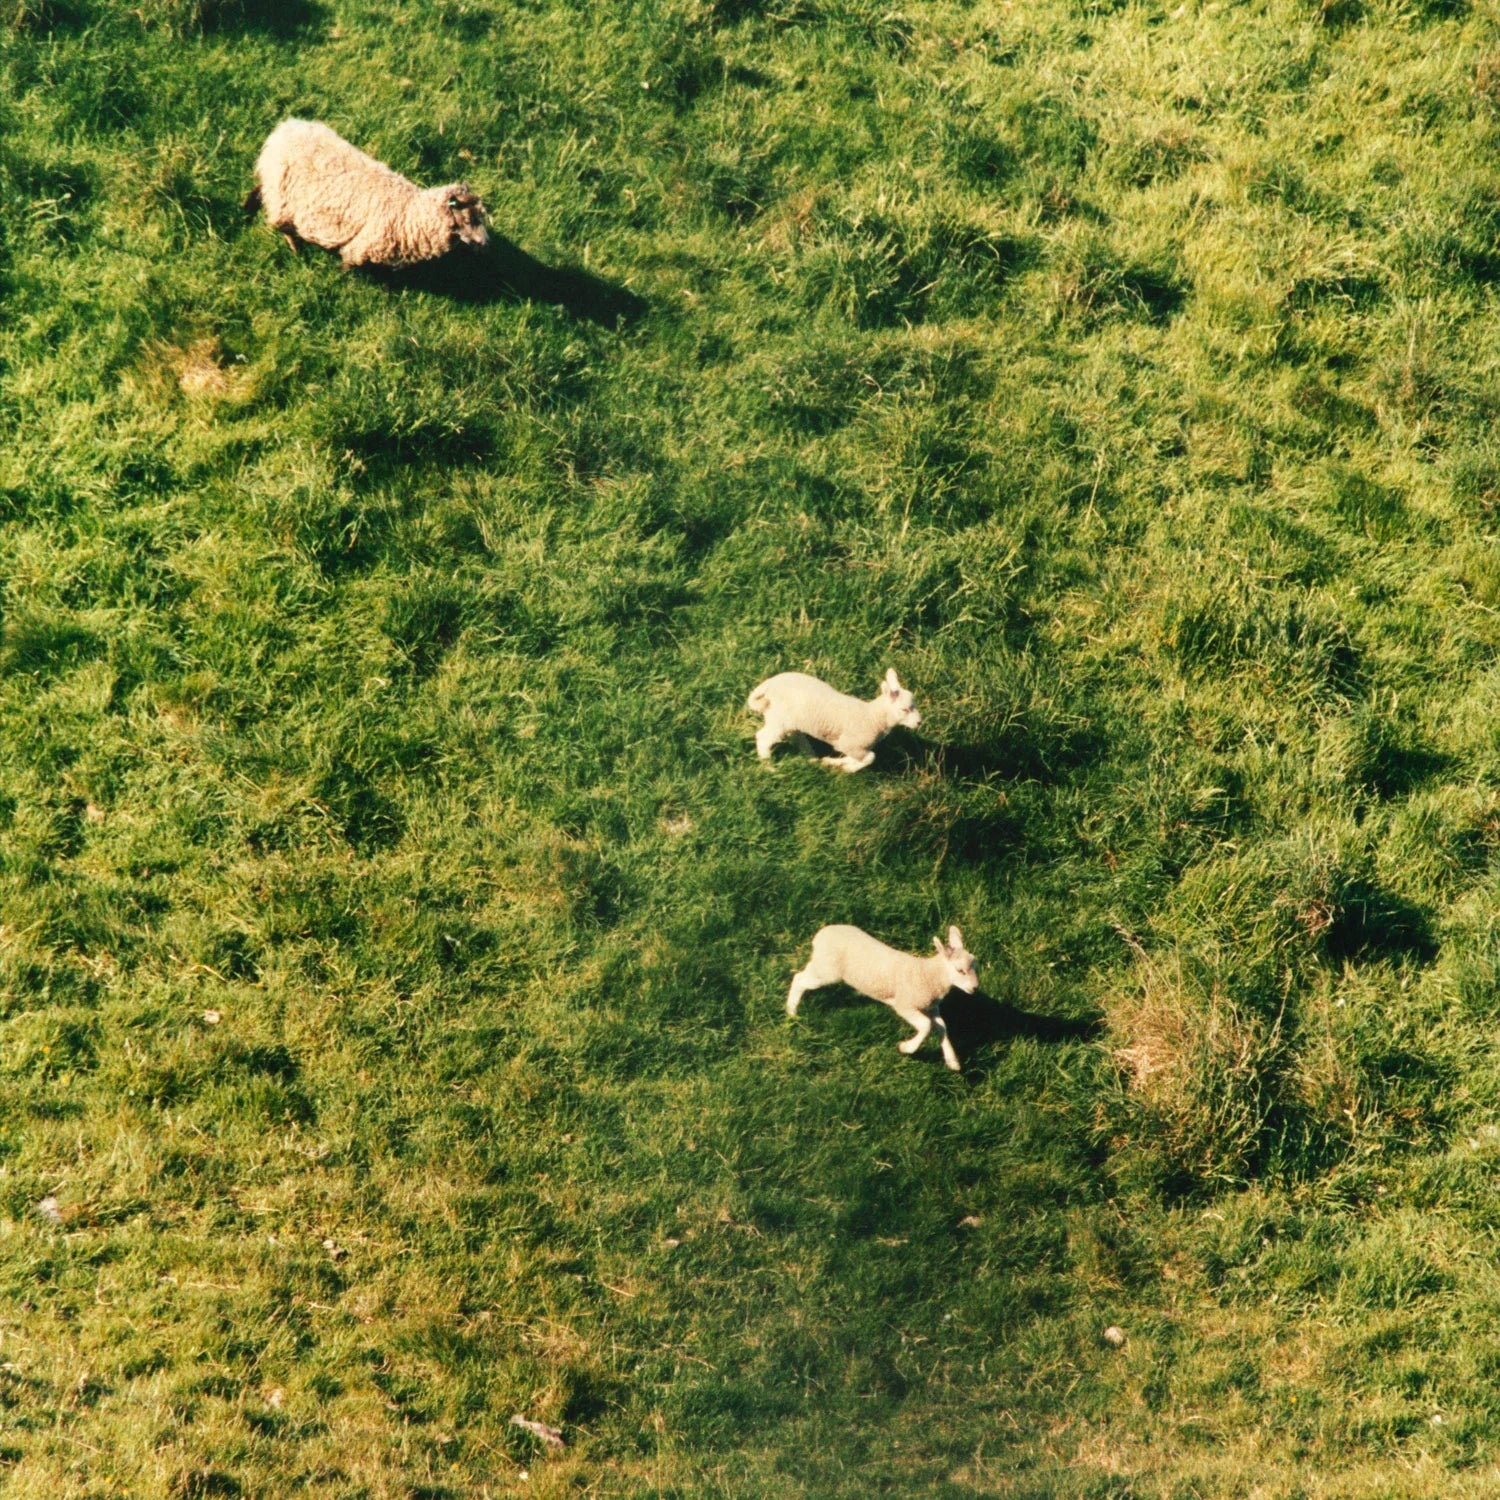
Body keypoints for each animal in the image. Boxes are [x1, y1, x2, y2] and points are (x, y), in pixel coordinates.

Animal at [245, 119, 489, 269]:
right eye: (468, 219)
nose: (486, 243)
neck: (409, 211)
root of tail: (285, 128)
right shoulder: (359, 248)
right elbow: (347, 265)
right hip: (281, 198)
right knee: (279, 223)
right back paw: (294, 246)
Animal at [746, 668, 920, 773]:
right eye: (904, 709)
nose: (919, 723)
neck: (872, 717)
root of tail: (768, 685)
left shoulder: (854, 747)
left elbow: (862, 757)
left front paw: (834, 762)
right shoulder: (850, 744)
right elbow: (870, 758)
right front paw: (847, 768)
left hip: (786, 719)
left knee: (795, 736)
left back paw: (812, 758)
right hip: (780, 717)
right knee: (763, 738)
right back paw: (769, 766)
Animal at [786, 924, 978, 1072]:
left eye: (974, 964)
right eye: (960, 970)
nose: (975, 988)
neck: (929, 975)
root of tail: (821, 935)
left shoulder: (930, 1007)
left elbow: (941, 1027)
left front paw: (952, 1061)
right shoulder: (905, 1004)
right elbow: (926, 1026)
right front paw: (906, 1048)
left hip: (822, 964)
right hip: (827, 969)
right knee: (799, 979)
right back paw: (791, 1011)